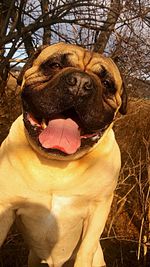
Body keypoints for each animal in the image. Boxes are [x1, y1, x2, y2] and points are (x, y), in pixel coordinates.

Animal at [0, 43, 127, 266]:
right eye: (55, 65)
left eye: (107, 83)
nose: (81, 83)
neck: (58, 166)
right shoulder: (4, 206)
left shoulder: (98, 210)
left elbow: (86, 249)